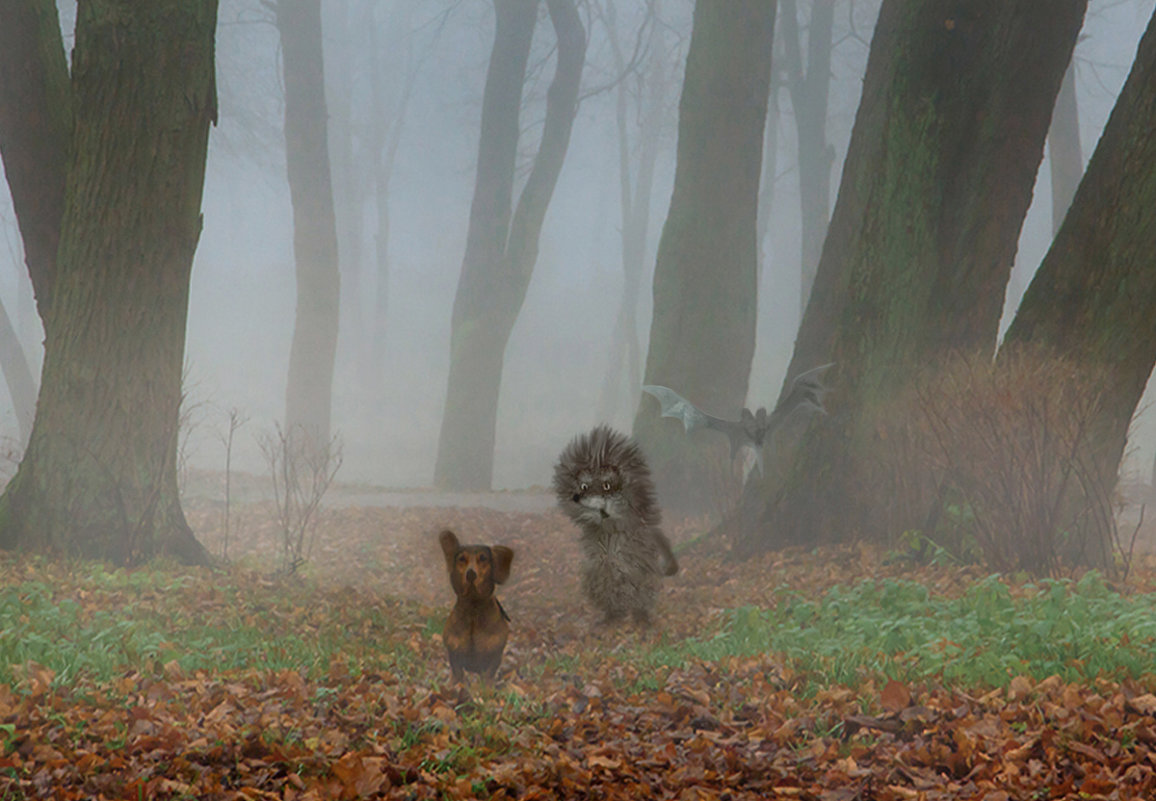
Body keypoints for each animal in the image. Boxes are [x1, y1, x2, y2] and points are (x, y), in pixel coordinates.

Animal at [436, 527, 515, 679]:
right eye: (461, 559)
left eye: (483, 558)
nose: (471, 573)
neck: (473, 609)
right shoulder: (455, 655)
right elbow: (458, 675)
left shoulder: (494, 658)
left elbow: (488, 677)